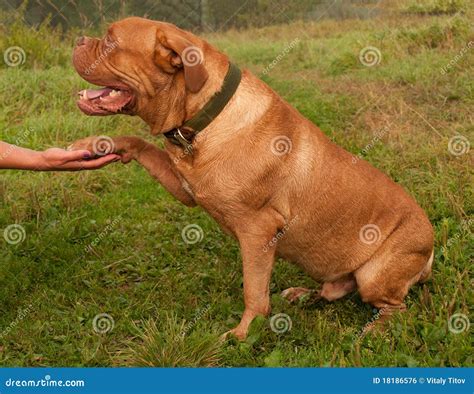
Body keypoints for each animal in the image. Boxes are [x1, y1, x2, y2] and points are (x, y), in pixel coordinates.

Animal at [70, 17, 434, 338]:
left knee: (396, 308)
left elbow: (254, 292)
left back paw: (373, 330)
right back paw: (305, 294)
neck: (204, 120)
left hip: (375, 276)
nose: (78, 39)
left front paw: (242, 335)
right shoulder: (185, 188)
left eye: (111, 41)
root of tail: (430, 246)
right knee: (335, 290)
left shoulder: (257, 232)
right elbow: (139, 143)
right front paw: (95, 144)